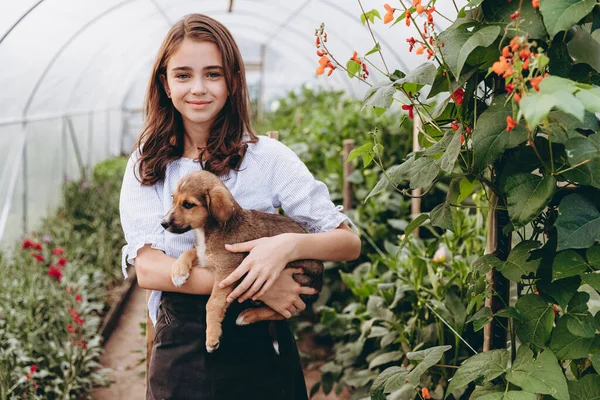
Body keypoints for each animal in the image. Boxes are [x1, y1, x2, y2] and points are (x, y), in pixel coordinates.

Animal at [161, 170, 324, 352]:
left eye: (188, 204)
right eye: (173, 199)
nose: (163, 223)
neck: (209, 230)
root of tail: (320, 283)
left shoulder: (226, 272)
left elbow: (213, 303)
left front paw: (212, 337)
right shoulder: (205, 258)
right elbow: (189, 252)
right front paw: (178, 272)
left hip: (299, 279)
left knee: (282, 313)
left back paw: (248, 315)